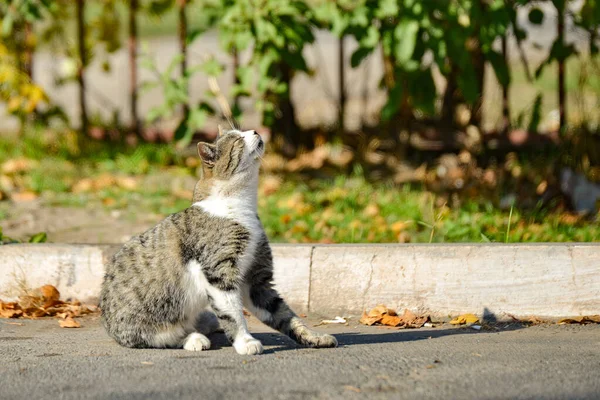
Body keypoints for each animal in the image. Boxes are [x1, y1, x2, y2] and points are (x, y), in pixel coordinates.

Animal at [101, 130, 340, 354]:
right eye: (238, 140)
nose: (254, 131)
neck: (240, 205)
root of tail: (107, 324)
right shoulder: (219, 273)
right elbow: (233, 313)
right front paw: (245, 341)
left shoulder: (257, 280)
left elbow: (285, 315)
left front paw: (313, 337)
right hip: (146, 324)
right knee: (158, 338)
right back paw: (193, 338)